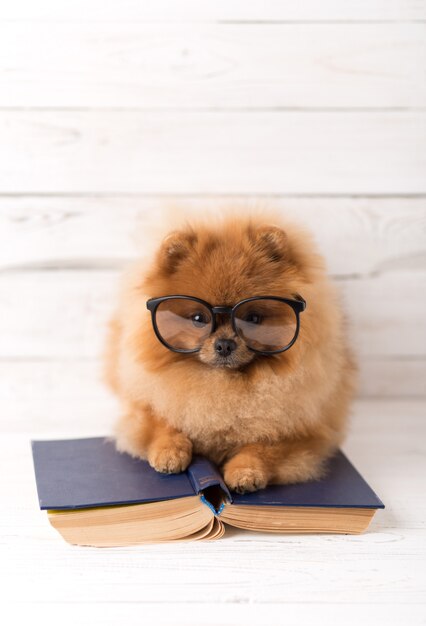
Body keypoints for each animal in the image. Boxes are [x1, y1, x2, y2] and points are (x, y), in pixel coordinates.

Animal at [104, 214, 356, 492]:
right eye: (198, 318)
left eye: (253, 319)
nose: (224, 344)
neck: (223, 385)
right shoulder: (145, 404)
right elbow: (162, 424)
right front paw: (169, 452)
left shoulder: (301, 432)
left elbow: (264, 447)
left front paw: (246, 471)